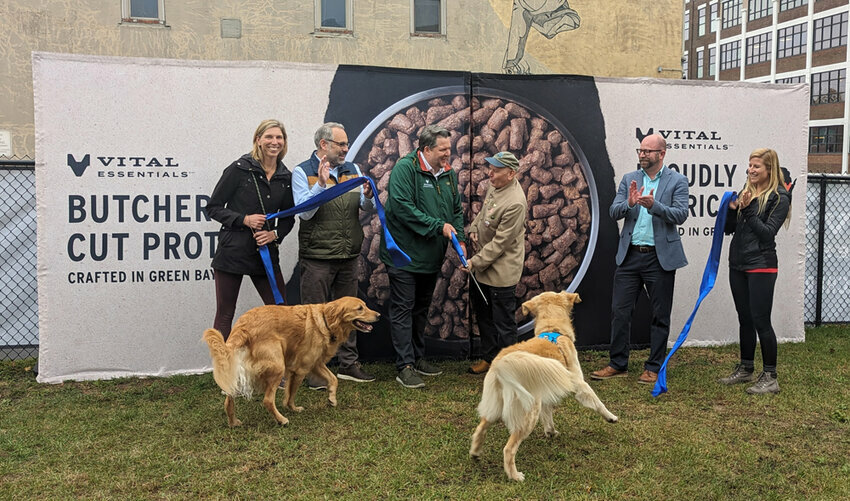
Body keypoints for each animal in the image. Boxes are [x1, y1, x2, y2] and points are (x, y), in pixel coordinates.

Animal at [202, 296, 378, 426]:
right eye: (360, 308)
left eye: (366, 305)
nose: (379, 315)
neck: (325, 320)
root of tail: (243, 327)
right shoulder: (301, 369)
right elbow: (291, 393)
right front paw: (292, 408)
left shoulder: (315, 364)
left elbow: (334, 379)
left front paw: (332, 399)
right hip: (278, 367)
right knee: (267, 400)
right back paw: (281, 420)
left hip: (237, 370)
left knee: (228, 400)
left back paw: (233, 422)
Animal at [470, 292, 616, 478]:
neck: (553, 330)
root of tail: (500, 366)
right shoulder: (577, 382)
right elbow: (597, 402)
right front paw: (611, 417)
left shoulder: (545, 392)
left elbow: (548, 416)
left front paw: (551, 432)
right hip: (528, 412)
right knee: (509, 449)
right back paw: (515, 476)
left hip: (496, 405)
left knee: (481, 427)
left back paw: (475, 452)